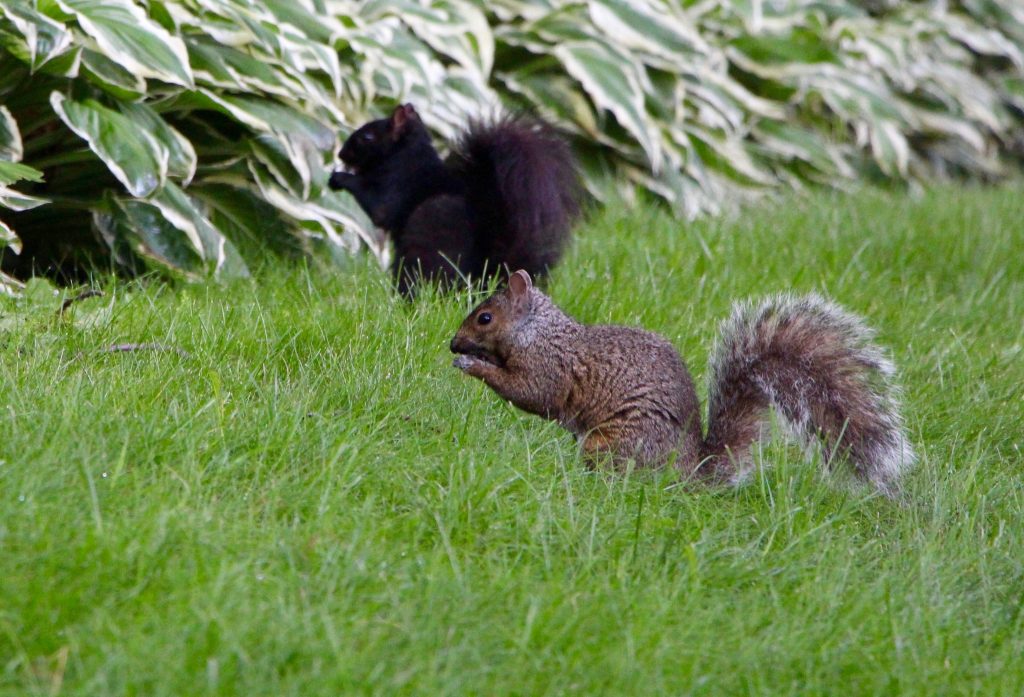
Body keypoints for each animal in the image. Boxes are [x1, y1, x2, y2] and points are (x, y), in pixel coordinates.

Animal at [328, 104, 581, 296]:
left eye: (367, 136)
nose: (340, 153)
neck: (406, 154)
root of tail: (485, 275)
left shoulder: (398, 183)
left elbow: (380, 208)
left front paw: (339, 177)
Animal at [450, 270, 915, 496]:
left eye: (485, 317)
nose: (452, 342)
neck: (537, 331)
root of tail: (690, 469)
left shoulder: (550, 367)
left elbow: (531, 394)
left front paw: (473, 364)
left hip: (615, 441)